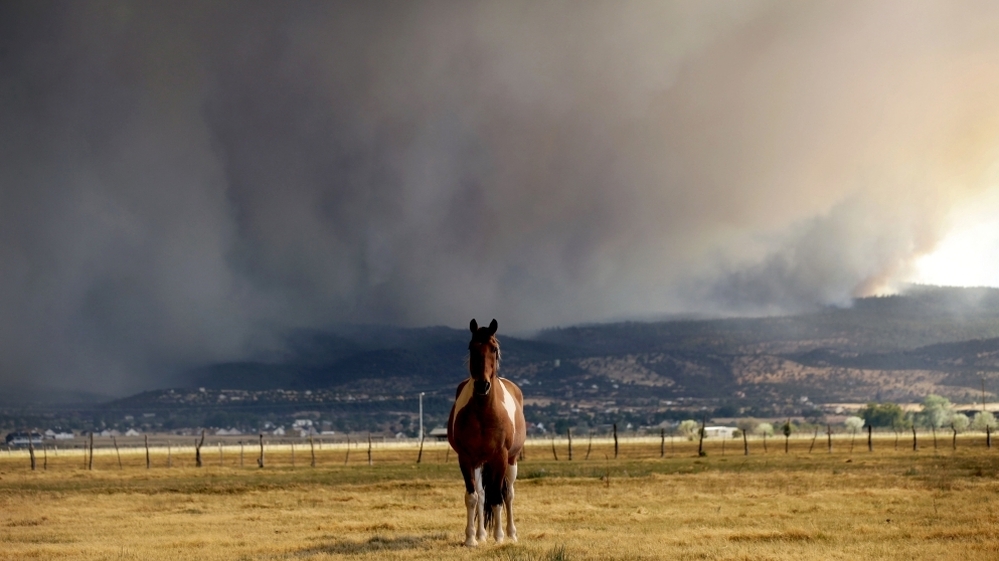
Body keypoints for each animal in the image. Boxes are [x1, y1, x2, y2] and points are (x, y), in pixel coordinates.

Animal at [447, 318, 526, 547]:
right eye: (471, 348)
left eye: (494, 348)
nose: (483, 385)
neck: (484, 412)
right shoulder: (466, 458)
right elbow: (473, 497)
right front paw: (471, 538)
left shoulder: (500, 457)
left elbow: (497, 498)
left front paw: (499, 537)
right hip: (480, 462)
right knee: (482, 495)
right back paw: (482, 534)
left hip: (511, 460)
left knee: (508, 494)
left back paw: (511, 533)